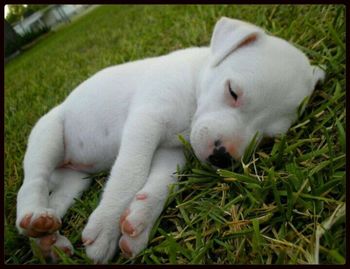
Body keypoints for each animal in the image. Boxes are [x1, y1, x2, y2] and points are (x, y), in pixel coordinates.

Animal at [15, 17, 324, 262]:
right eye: (233, 92)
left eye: (268, 140)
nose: (222, 156)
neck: (194, 83)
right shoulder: (145, 121)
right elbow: (130, 173)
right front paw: (107, 227)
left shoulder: (171, 151)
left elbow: (164, 181)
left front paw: (139, 220)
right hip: (49, 135)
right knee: (33, 182)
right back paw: (33, 213)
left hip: (74, 182)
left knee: (55, 200)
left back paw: (45, 238)